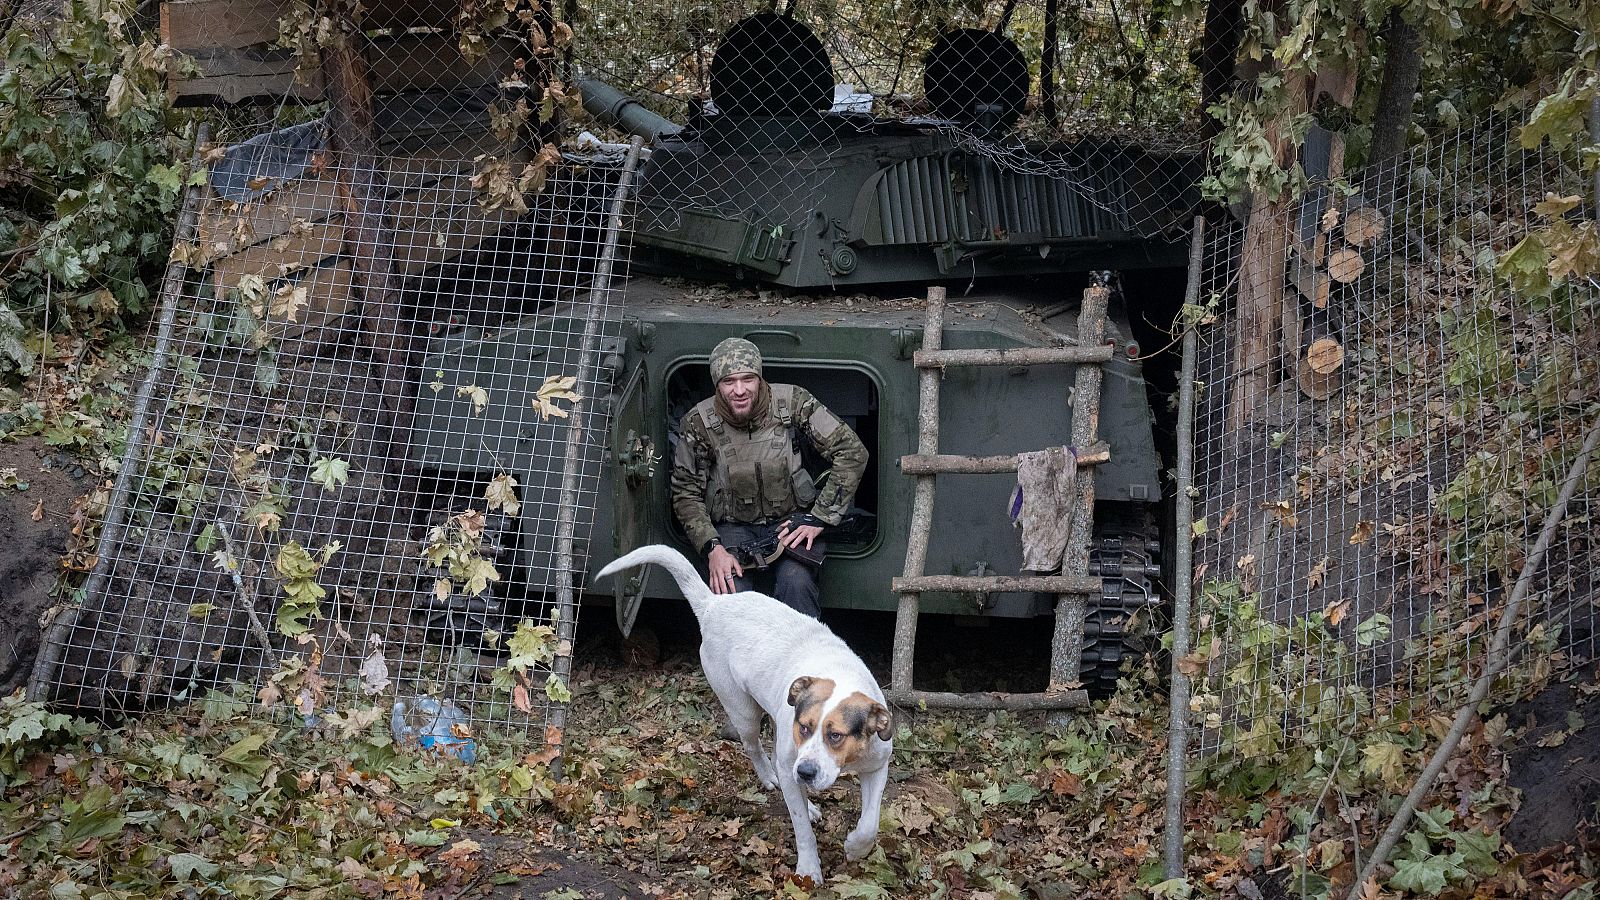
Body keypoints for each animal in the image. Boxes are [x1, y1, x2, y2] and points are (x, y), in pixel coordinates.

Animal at [601, 544, 896, 877]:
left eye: (836, 736)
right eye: (805, 727)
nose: (806, 772)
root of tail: (713, 604)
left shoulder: (877, 766)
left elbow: (870, 823)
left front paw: (856, 848)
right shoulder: (794, 758)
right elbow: (803, 831)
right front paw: (809, 870)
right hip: (744, 712)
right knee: (756, 748)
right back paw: (772, 778)